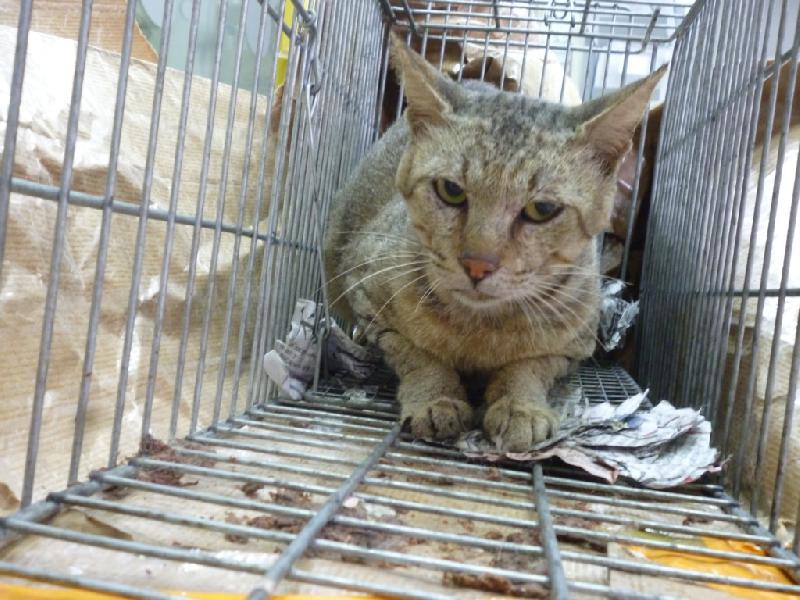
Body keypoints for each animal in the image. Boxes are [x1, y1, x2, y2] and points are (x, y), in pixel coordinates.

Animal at [323, 35, 664, 452]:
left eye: (542, 209)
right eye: (450, 190)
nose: (477, 264)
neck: (482, 328)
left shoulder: (573, 345)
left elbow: (529, 366)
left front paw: (520, 404)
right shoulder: (367, 296)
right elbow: (416, 355)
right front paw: (436, 396)